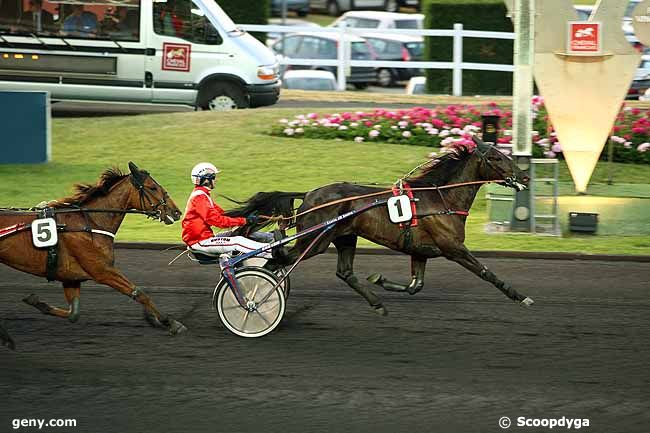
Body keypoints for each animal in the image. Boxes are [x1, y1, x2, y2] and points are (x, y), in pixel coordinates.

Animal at [0, 160, 182, 350]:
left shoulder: (71, 277)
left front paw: (37, 302)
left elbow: (73, 313)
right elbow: (138, 293)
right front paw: (170, 322)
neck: (91, 223)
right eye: (153, 187)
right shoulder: (102, 271)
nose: (177, 212)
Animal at [228, 138, 532, 314]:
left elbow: (416, 285)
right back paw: (256, 294)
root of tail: (309, 194)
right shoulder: (453, 248)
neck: (441, 197)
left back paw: (377, 303)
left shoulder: (421, 251)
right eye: (496, 158)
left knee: (343, 272)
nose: (525, 176)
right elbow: (486, 272)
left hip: (344, 237)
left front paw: (381, 280)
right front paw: (520, 297)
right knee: (278, 257)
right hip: (314, 241)